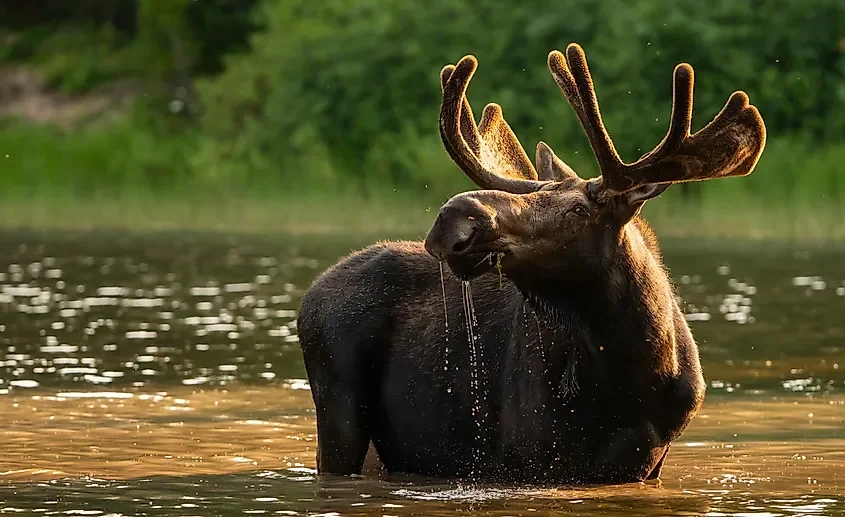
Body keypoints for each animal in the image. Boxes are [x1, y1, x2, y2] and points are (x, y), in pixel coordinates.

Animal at [297, 43, 766, 485]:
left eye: (578, 210)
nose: (456, 217)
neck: (634, 377)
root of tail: (310, 293)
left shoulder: (649, 463)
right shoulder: (526, 455)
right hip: (338, 412)